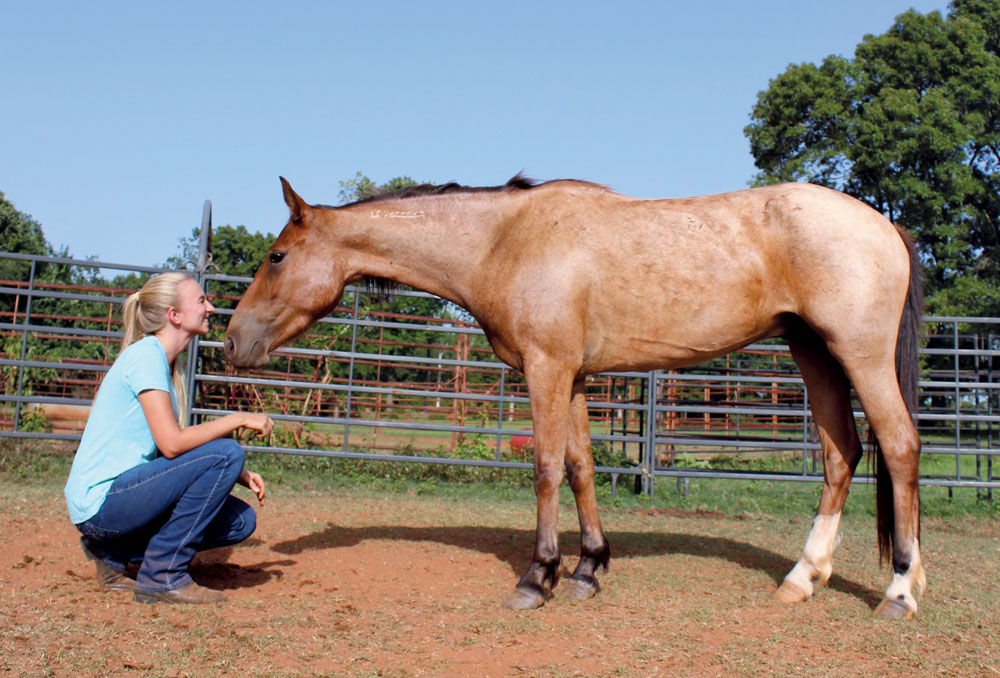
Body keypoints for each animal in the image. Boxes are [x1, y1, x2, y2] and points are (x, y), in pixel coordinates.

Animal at [223, 173, 924, 620]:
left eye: (277, 255)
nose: (231, 340)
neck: (504, 240)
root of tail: (886, 226)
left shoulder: (546, 368)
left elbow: (544, 470)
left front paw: (539, 579)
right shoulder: (578, 376)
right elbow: (582, 467)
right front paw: (589, 569)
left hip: (858, 355)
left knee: (899, 446)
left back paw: (899, 591)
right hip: (815, 355)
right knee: (842, 456)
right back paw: (803, 579)